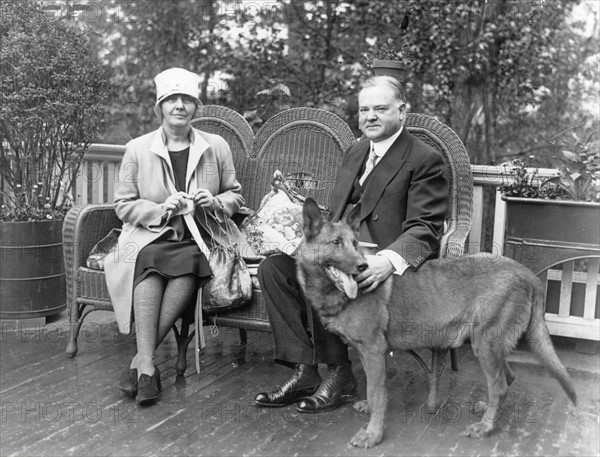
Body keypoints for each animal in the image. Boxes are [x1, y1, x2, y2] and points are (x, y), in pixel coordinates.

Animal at [296, 198, 576, 448]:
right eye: (335, 243)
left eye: (355, 244)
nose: (363, 266)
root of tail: (526, 273)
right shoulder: (369, 353)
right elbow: (375, 391)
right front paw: (369, 412)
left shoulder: (373, 350)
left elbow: (377, 395)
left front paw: (373, 435)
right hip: (492, 347)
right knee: (507, 378)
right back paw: (487, 410)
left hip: (484, 345)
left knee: (500, 386)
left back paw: (486, 427)